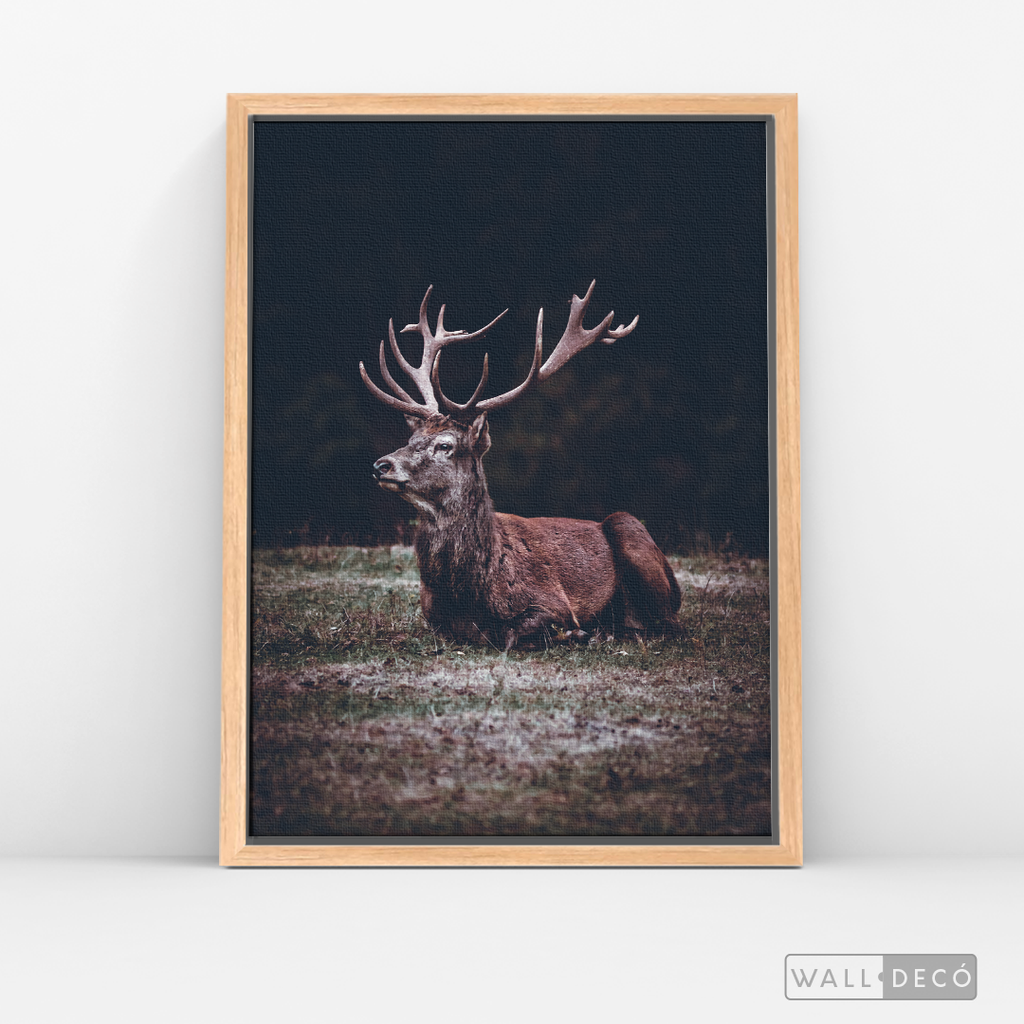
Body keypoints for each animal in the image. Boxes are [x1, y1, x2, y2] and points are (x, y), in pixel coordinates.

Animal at [360, 281, 682, 650]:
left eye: (446, 445)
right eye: (411, 439)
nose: (381, 465)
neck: (467, 593)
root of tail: (677, 588)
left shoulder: (552, 600)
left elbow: (514, 633)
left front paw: (576, 632)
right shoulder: (432, 615)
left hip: (630, 531)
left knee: (669, 625)